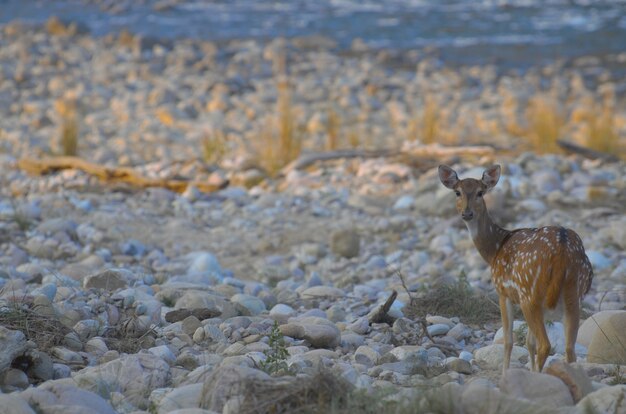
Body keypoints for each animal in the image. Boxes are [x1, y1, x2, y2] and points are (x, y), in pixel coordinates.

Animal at [436, 165, 592, 376]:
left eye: (480, 192)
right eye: (457, 192)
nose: (467, 214)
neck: (495, 250)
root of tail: (562, 250)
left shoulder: (503, 292)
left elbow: (509, 341)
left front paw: (505, 374)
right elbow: (528, 342)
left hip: (529, 294)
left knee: (545, 345)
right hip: (573, 294)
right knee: (569, 348)